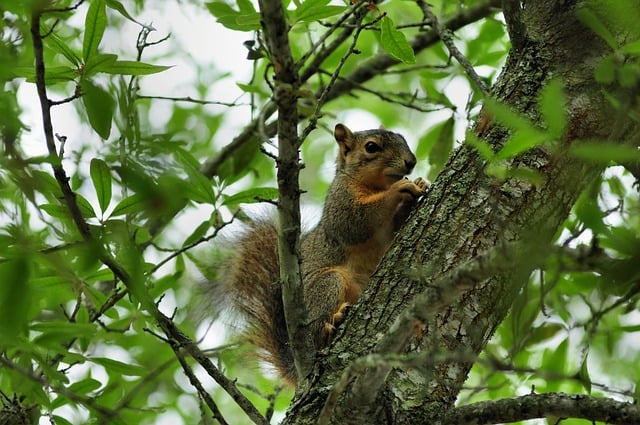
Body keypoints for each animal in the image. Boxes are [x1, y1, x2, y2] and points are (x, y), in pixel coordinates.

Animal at [216, 123, 428, 386]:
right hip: (327, 284)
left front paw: (418, 186)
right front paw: (401, 189)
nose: (411, 162)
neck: (376, 186)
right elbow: (356, 221)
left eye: (403, 140)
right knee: (319, 331)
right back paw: (331, 326)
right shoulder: (340, 201)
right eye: (371, 147)